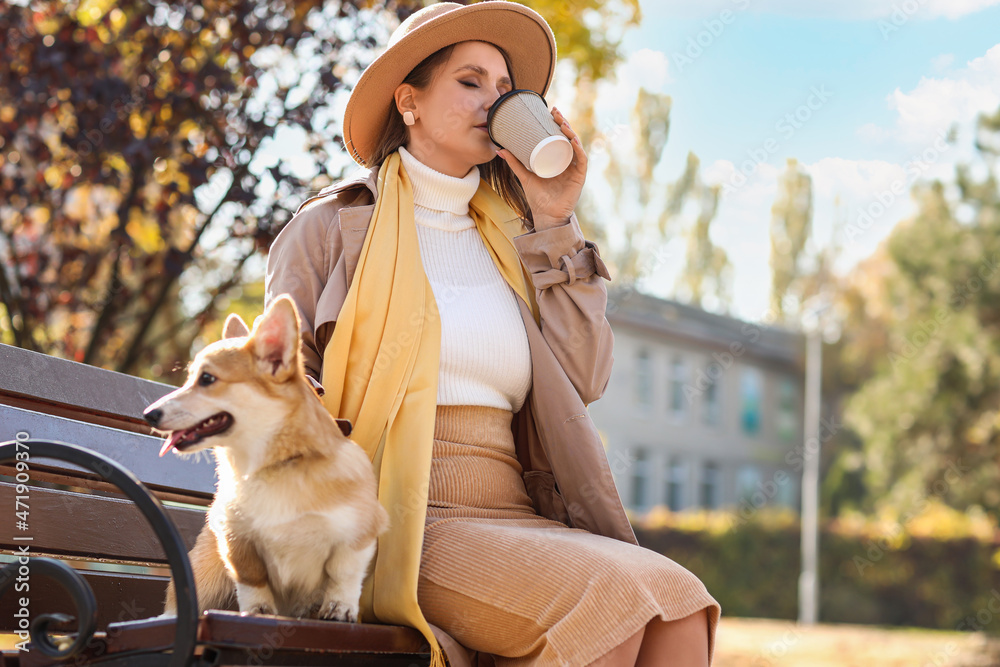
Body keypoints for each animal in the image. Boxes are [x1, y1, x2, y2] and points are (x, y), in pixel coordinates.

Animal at [145, 294, 386, 624]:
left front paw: (339, 607)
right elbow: (252, 580)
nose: (148, 414)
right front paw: (258, 611)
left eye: (207, 379)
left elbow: (344, 574)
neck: (272, 466)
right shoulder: (237, 540)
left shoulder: (358, 533)